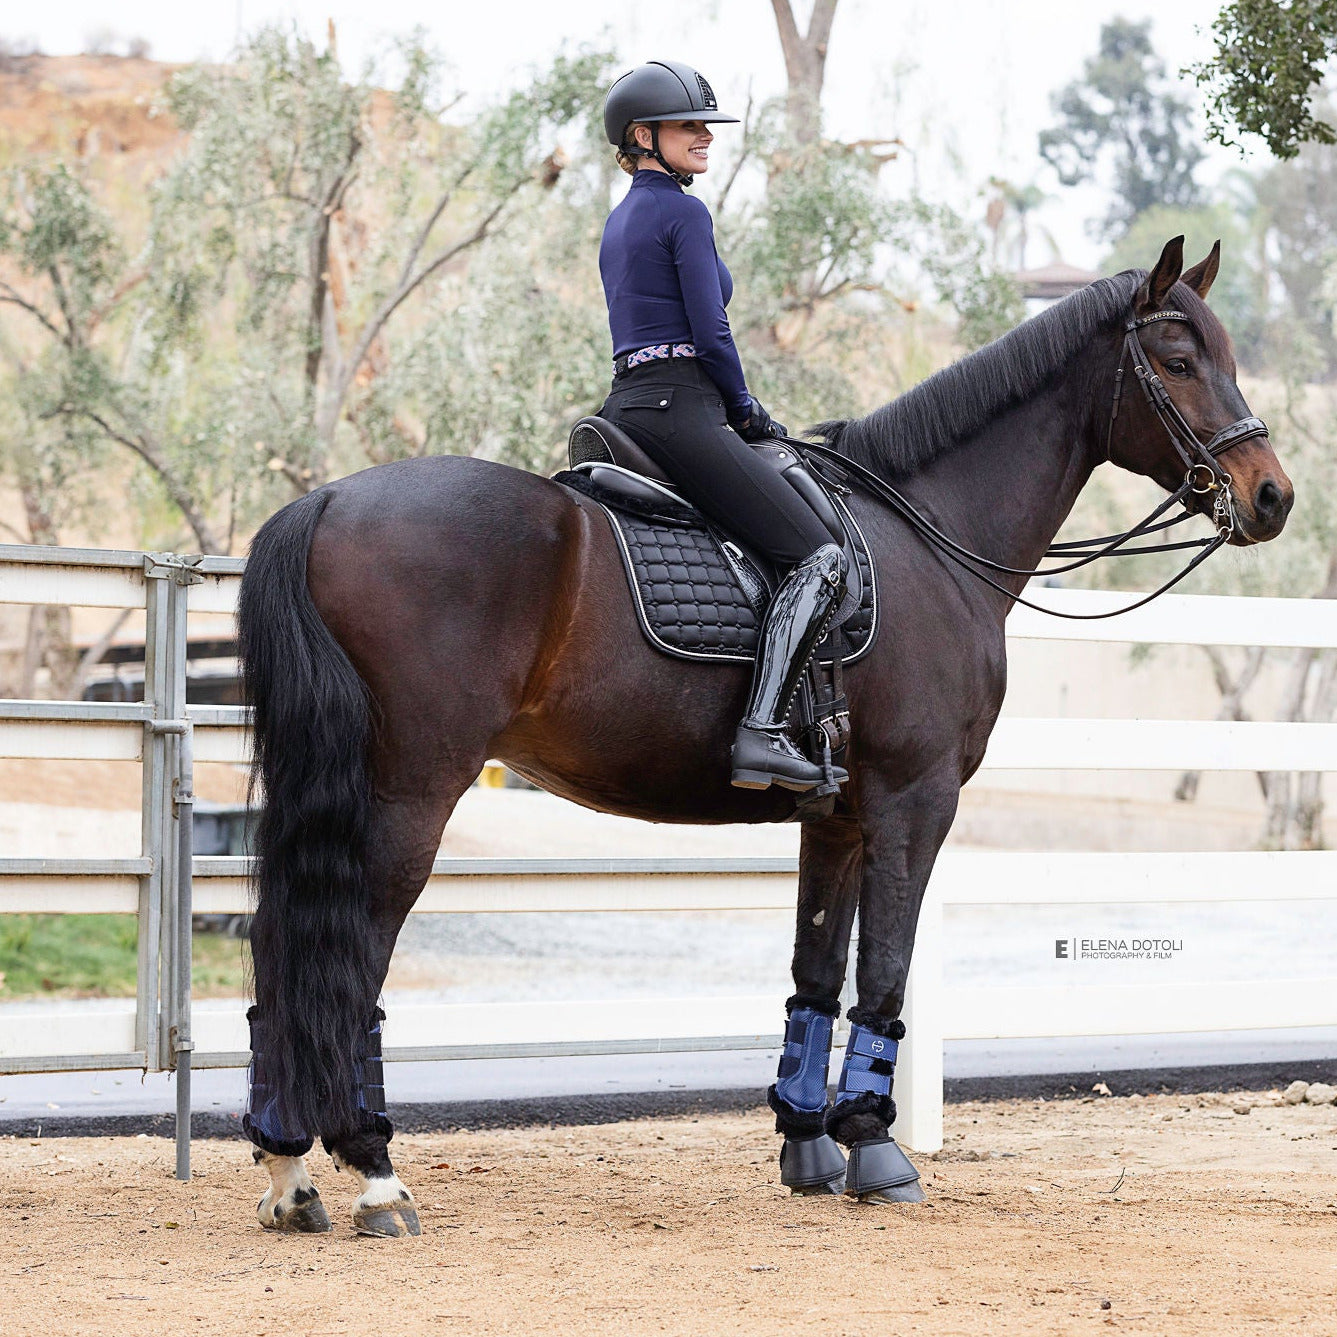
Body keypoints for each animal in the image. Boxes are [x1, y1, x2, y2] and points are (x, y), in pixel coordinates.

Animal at [240, 237, 1294, 1230]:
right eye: (1178, 359)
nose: (1271, 494)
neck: (930, 537)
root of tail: (324, 500)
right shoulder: (914, 801)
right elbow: (884, 972)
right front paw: (875, 1149)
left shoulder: (835, 816)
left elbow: (816, 971)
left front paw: (809, 1146)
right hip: (410, 791)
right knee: (346, 961)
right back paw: (374, 1169)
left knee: (281, 948)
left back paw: (289, 1167)